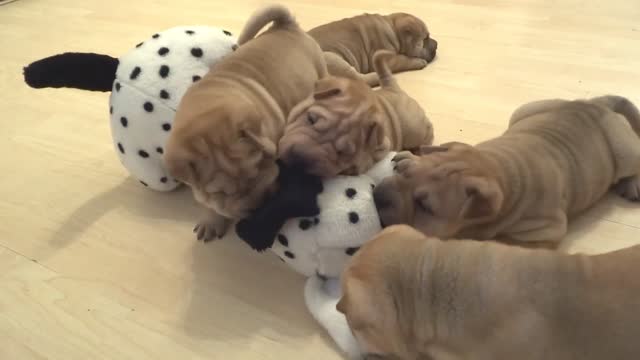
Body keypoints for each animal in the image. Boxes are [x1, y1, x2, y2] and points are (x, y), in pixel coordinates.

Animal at [165, 3, 328, 242]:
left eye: (260, 167)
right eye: (221, 193)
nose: (258, 206)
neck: (207, 108)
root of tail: (286, 25)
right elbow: (208, 203)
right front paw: (211, 220)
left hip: (320, 68)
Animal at [278, 50, 432, 177]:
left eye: (342, 153)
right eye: (310, 119)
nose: (300, 160)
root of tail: (392, 88)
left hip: (413, 128)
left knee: (427, 132)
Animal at [310, 12, 440, 87]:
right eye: (425, 38)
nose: (437, 44)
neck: (393, 29)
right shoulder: (389, 58)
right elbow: (404, 59)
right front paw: (418, 62)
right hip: (331, 58)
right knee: (358, 79)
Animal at [372, 95, 640, 245]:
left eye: (425, 207)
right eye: (404, 172)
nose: (377, 196)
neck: (498, 167)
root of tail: (594, 104)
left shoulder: (545, 231)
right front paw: (406, 155)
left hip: (625, 151)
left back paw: (632, 185)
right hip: (524, 110)